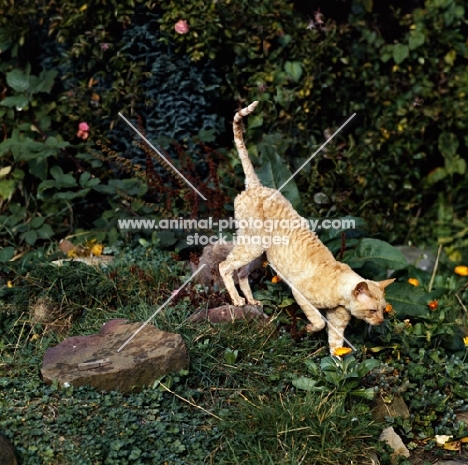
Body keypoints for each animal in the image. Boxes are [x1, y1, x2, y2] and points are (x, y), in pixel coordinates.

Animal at [220, 100, 394, 352]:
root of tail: (256, 185)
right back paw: (237, 299)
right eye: (372, 310)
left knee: (241, 272)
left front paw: (337, 361)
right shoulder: (298, 292)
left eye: (383, 310)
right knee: (225, 266)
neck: (339, 291)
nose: (380, 321)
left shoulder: (337, 323)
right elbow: (318, 321)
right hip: (253, 244)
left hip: (259, 253)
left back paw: (251, 300)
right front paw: (309, 329)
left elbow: (336, 349)